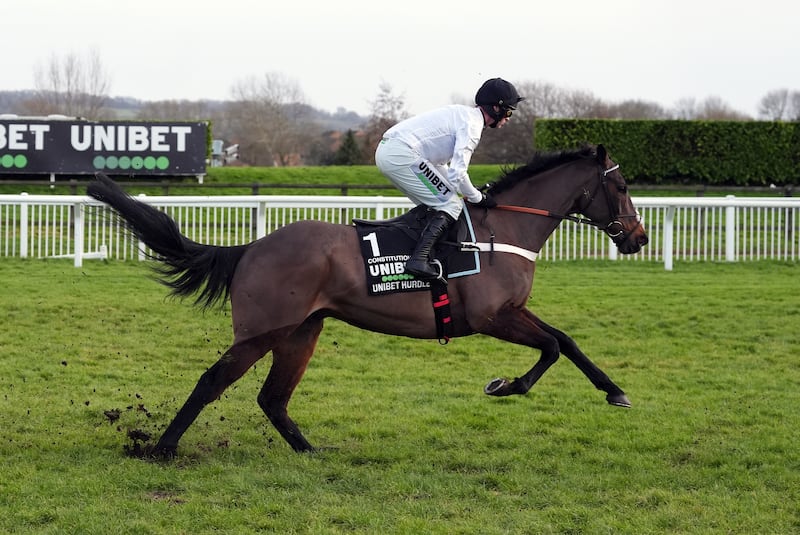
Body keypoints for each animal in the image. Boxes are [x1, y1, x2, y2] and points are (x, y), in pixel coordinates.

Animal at [87, 142, 648, 456]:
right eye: (621, 185)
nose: (639, 238)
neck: (503, 228)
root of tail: (250, 247)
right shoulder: (491, 316)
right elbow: (550, 348)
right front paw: (506, 386)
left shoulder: (513, 311)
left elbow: (567, 342)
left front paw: (615, 392)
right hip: (263, 331)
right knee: (213, 382)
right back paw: (161, 450)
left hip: (301, 332)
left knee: (273, 398)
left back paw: (311, 451)